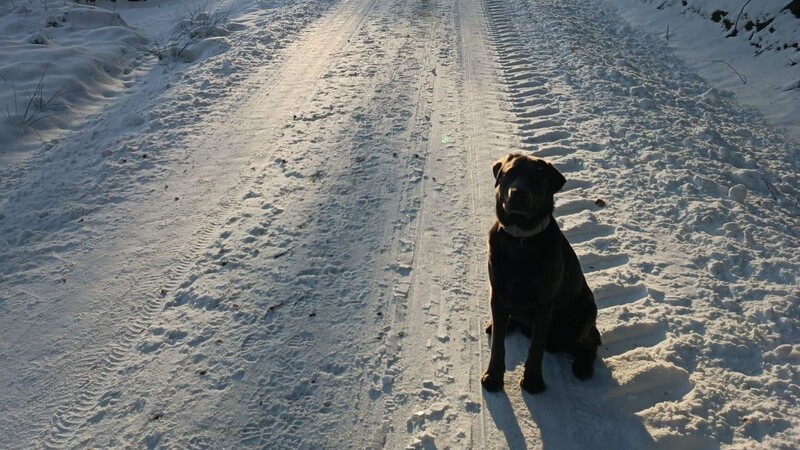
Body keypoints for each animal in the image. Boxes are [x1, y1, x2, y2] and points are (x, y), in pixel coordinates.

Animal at [482, 154, 600, 394]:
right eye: (509, 173)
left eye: (537, 177)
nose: (517, 193)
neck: (520, 240)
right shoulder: (497, 294)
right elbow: (498, 344)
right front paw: (494, 376)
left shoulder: (545, 304)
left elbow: (536, 348)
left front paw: (533, 381)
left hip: (587, 313)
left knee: (590, 342)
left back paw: (583, 366)